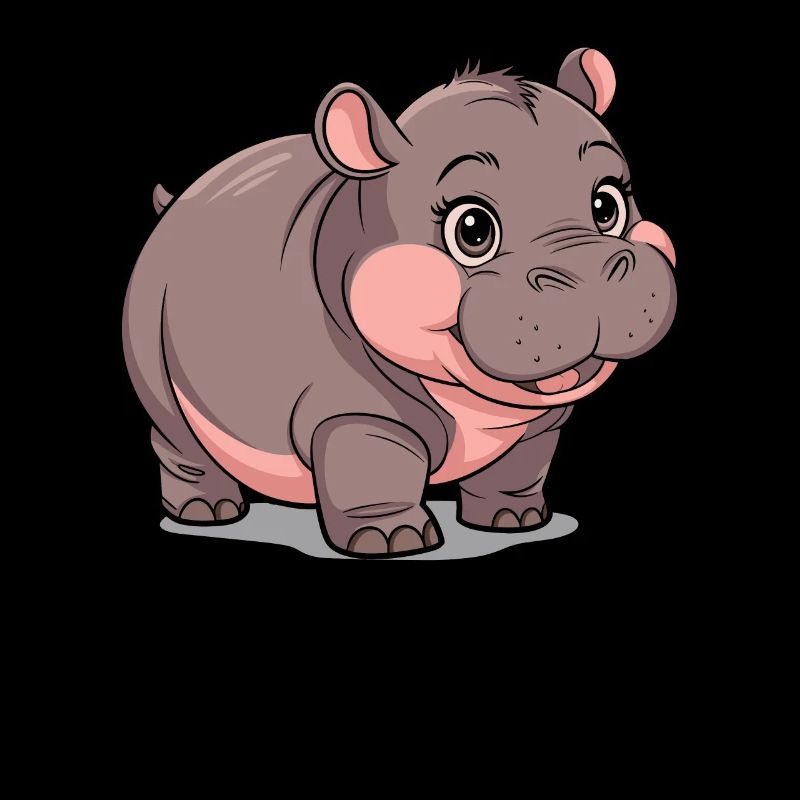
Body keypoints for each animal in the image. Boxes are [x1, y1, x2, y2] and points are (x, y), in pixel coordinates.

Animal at [123, 48, 676, 558]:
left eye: (608, 204)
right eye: (472, 229)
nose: (592, 273)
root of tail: (179, 200)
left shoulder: (541, 422)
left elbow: (520, 465)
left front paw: (515, 521)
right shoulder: (355, 410)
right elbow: (377, 466)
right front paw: (393, 541)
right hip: (148, 321)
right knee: (174, 430)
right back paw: (207, 513)